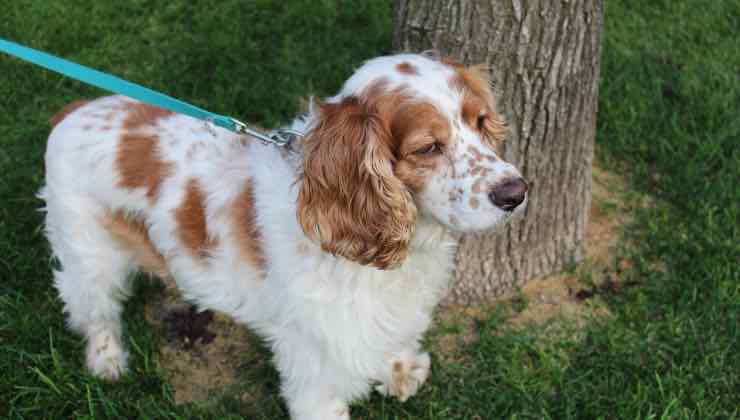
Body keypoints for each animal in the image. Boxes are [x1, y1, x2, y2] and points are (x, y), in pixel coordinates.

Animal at [39, 53, 528, 420]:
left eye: (481, 121)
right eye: (428, 147)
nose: (516, 192)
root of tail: (72, 111)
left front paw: (400, 368)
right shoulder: (315, 363)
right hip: (87, 253)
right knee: (94, 312)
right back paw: (107, 362)